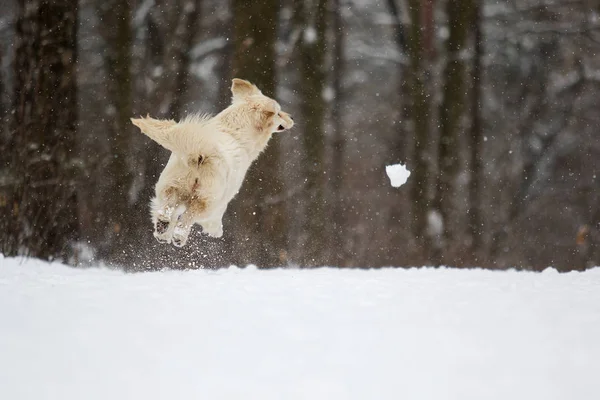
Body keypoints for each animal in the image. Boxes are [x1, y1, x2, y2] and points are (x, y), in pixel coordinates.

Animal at [130, 78, 294, 247]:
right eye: (279, 113)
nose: (292, 118)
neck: (233, 131)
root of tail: (202, 154)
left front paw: (163, 233)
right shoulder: (223, 200)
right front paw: (215, 230)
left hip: (171, 185)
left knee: (168, 209)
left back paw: (162, 228)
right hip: (207, 200)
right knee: (188, 217)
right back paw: (180, 237)